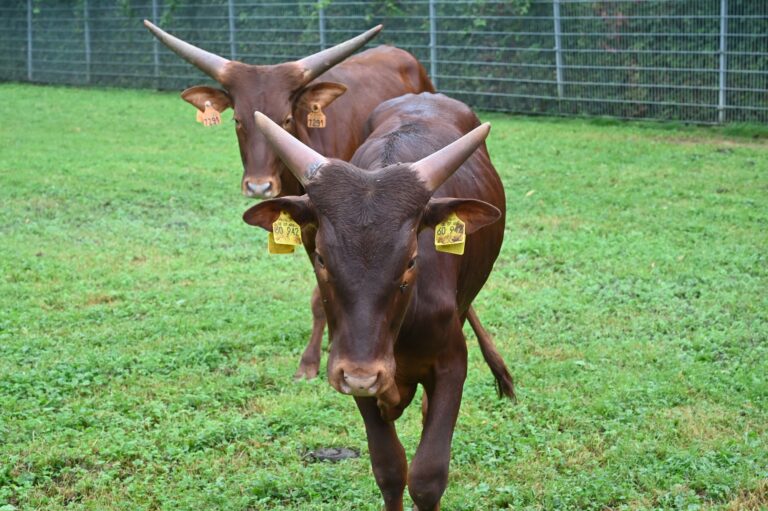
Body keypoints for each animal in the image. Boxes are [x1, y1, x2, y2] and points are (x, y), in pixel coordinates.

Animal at [243, 94, 512, 510]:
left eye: (412, 260)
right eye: (320, 257)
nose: (363, 375)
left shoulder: (452, 364)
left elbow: (427, 476)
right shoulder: (350, 364)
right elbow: (388, 467)